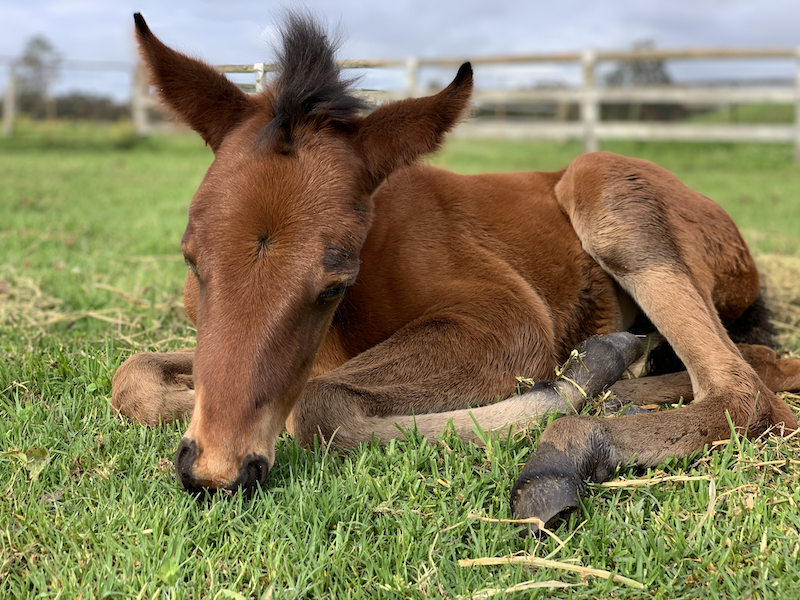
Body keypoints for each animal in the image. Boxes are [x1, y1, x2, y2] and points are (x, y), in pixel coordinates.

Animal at [113, 12, 799, 533]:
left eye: (334, 282)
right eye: (192, 259)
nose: (217, 472)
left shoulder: (507, 320)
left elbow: (316, 405)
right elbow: (134, 378)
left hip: (604, 189)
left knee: (747, 389)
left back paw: (572, 434)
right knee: (760, 365)